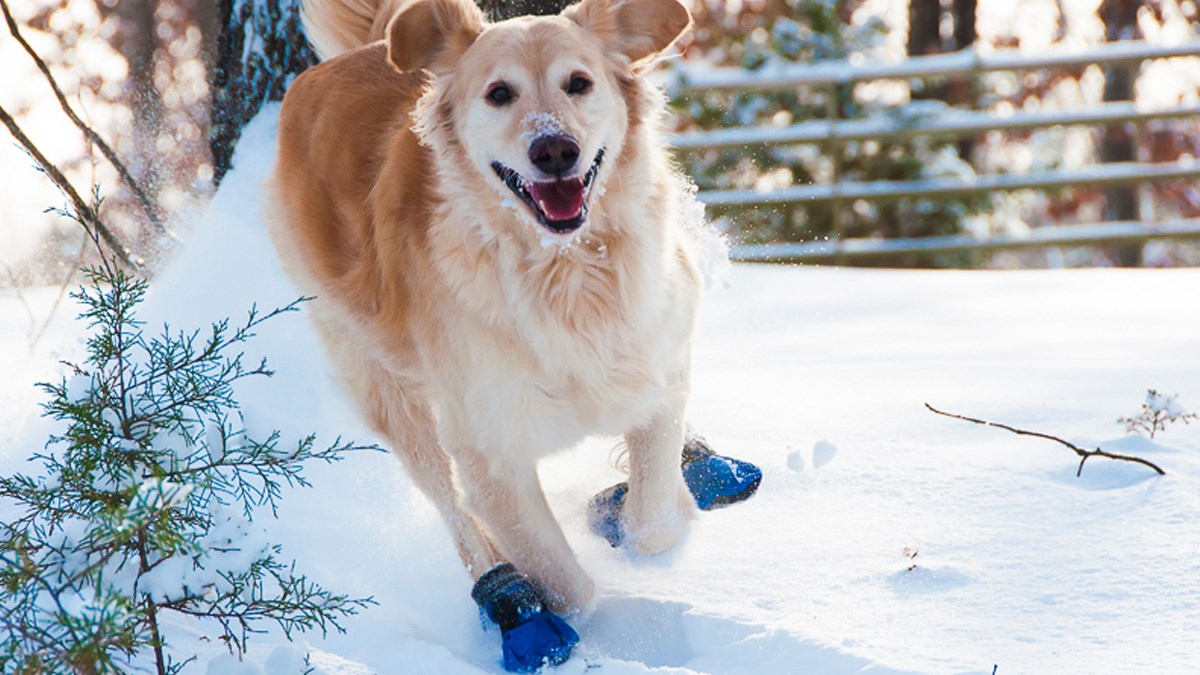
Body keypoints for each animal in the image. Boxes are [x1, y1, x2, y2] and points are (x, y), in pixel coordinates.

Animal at [270, 0, 700, 624]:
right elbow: (569, 586)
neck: (568, 270)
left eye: (579, 83)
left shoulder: (660, 373)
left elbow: (653, 522)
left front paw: (645, 509)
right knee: (454, 513)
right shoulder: (488, 450)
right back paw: (498, 583)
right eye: (500, 93)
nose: (554, 150)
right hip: (386, 387)